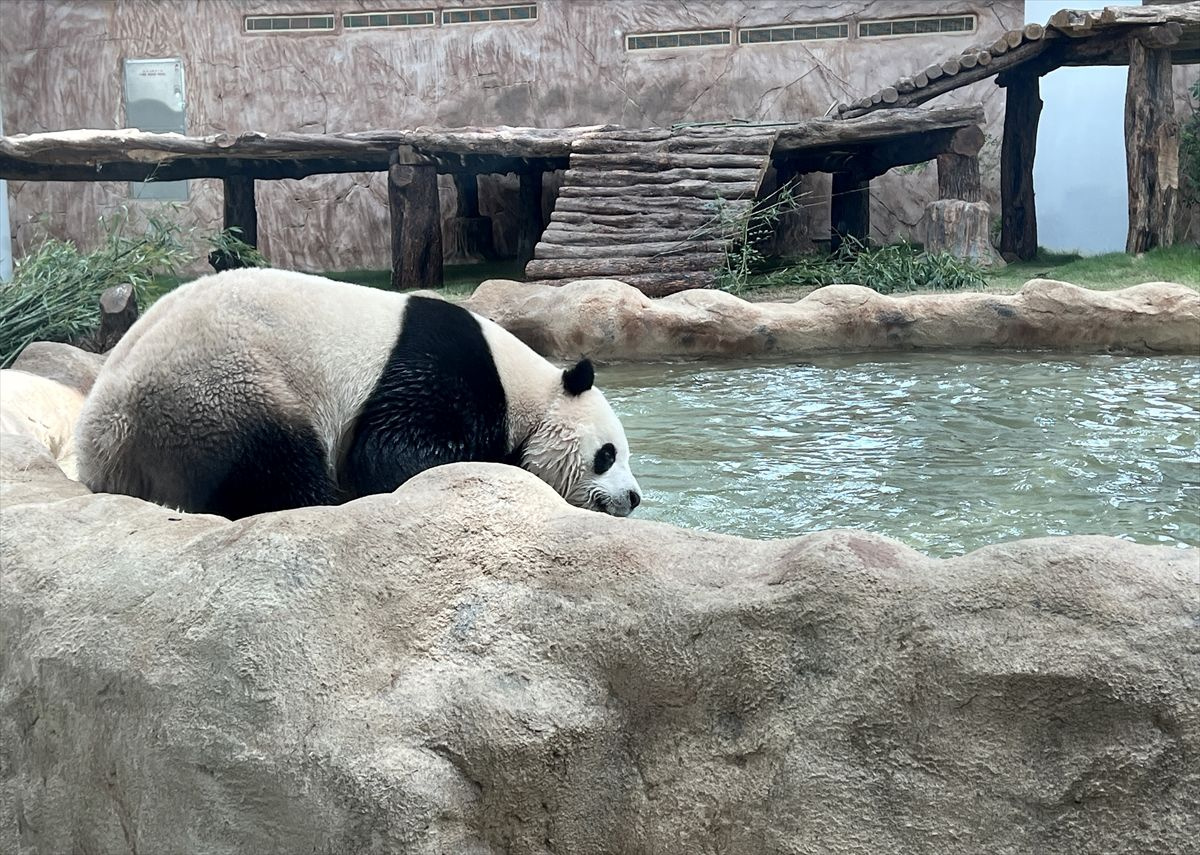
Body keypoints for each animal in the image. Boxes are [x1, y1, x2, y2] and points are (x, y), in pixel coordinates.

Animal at [72, 266, 638, 521]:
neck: (523, 385)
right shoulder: (441, 373)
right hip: (219, 386)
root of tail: (106, 432)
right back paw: (328, 500)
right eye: (607, 454)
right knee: (273, 459)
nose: (633, 497)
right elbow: (390, 451)